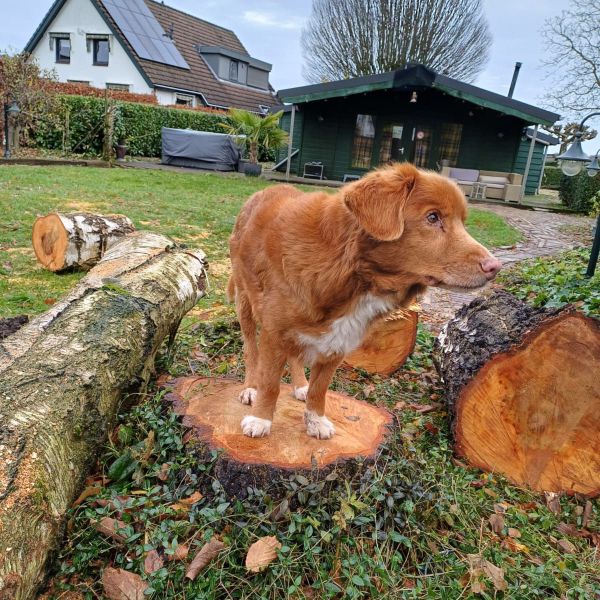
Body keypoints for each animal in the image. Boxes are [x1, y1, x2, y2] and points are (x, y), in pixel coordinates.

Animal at [230, 162, 502, 438]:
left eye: (462, 222)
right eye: (433, 217)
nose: (494, 267)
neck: (351, 269)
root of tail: (262, 192)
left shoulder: (338, 339)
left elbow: (320, 389)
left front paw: (315, 419)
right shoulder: (274, 333)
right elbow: (270, 382)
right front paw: (261, 419)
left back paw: (300, 385)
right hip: (245, 303)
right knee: (250, 348)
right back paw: (250, 388)